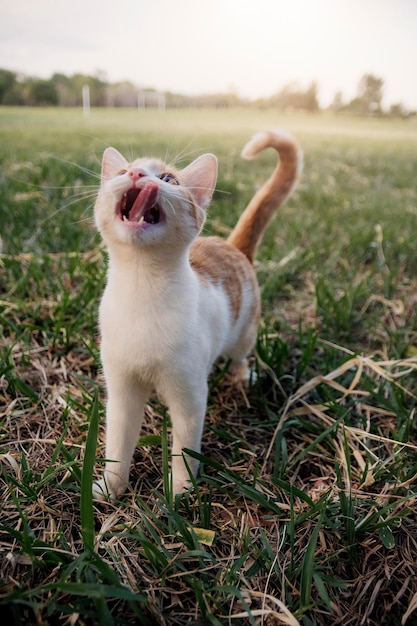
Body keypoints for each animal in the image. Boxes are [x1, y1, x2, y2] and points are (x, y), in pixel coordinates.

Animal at [92, 127, 300, 498]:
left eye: (168, 178)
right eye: (121, 173)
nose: (136, 174)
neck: (142, 289)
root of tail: (230, 245)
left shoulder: (189, 393)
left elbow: (185, 445)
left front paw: (180, 489)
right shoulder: (121, 388)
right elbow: (118, 441)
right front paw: (112, 486)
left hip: (244, 334)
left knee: (239, 356)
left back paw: (241, 377)